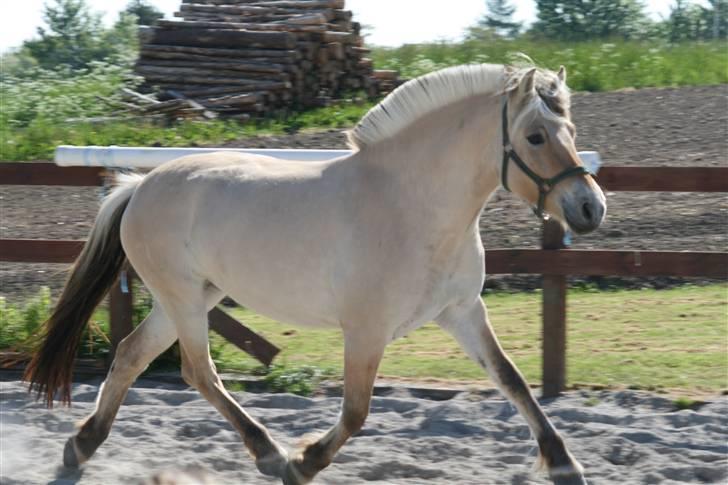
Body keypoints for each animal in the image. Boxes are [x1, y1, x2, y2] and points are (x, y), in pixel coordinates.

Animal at [25, 64, 604, 484]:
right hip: (184, 298)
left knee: (131, 356)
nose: (590, 208)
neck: (411, 205)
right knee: (199, 372)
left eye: (571, 131)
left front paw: (565, 464)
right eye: (534, 137)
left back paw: (79, 449)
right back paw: (269, 454)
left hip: (192, 298)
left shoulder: (461, 311)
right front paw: (303, 464)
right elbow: (355, 411)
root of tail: (139, 185)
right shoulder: (365, 330)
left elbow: (512, 379)